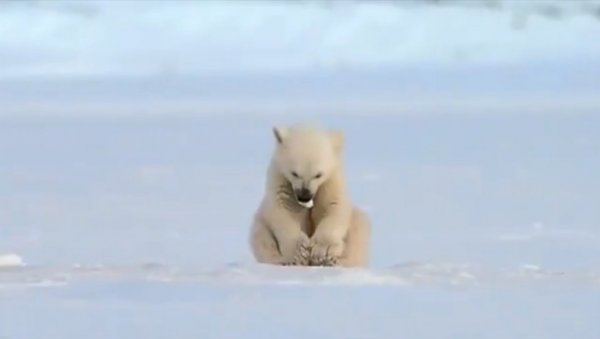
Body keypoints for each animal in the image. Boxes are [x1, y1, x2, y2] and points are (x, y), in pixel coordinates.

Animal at [248, 125, 370, 268]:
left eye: (318, 175)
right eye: (294, 173)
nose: (304, 196)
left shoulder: (331, 180)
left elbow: (332, 206)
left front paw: (322, 251)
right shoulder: (281, 178)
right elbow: (285, 209)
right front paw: (300, 252)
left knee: (358, 230)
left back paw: (334, 262)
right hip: (260, 222)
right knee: (261, 236)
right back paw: (282, 261)